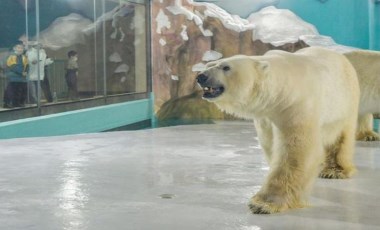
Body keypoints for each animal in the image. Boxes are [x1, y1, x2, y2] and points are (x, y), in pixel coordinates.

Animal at [197, 46, 360, 214]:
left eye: (226, 67)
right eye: (209, 64)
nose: (201, 76)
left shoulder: (296, 106)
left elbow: (295, 151)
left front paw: (263, 203)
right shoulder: (266, 116)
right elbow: (270, 143)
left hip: (344, 102)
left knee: (341, 136)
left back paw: (335, 170)